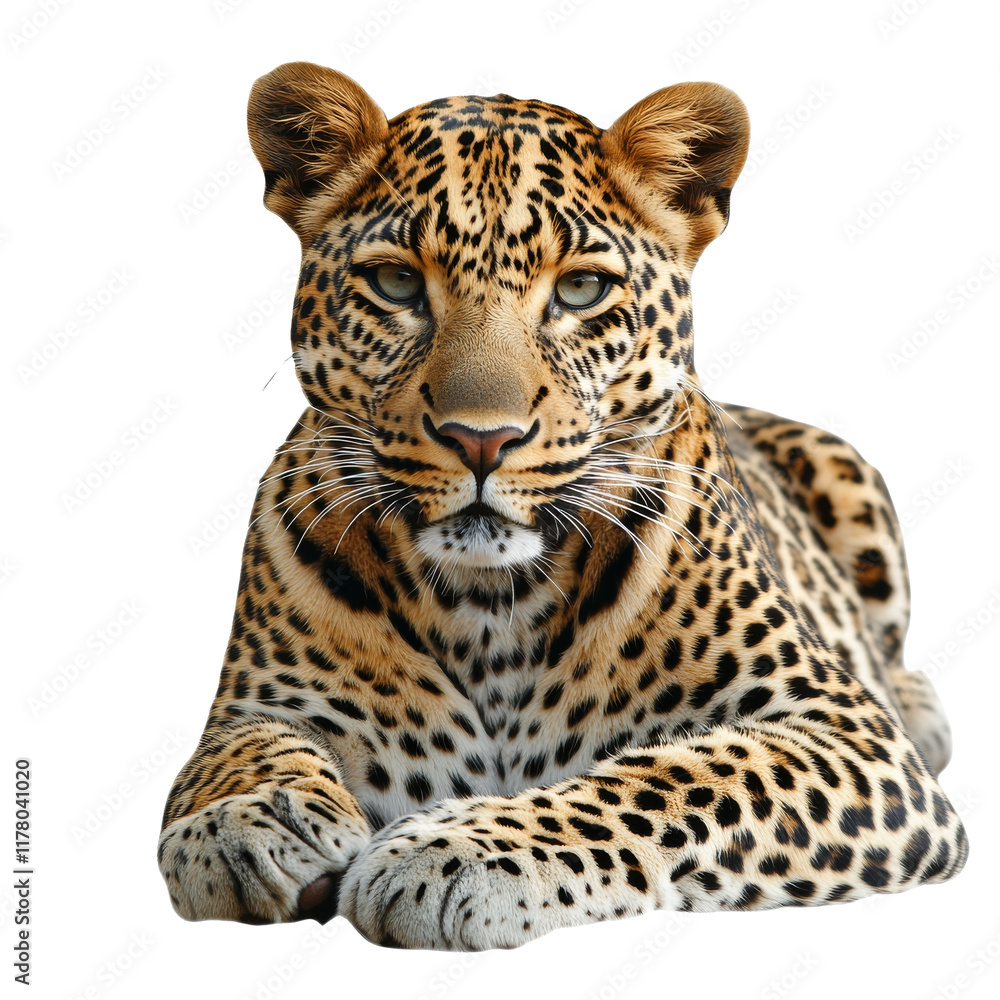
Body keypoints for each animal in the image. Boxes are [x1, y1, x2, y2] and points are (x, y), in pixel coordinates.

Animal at [157, 62, 968, 950]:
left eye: (580, 289)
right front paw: (244, 820)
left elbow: (676, 778)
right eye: (397, 281)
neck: (487, 605)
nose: (481, 440)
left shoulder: (844, 733)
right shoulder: (258, 697)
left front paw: (455, 850)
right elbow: (235, 749)